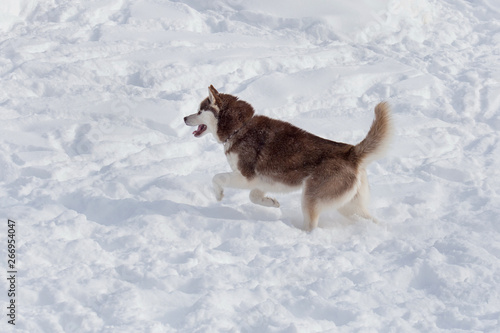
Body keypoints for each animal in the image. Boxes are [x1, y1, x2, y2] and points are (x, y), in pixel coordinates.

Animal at [182, 85, 392, 230]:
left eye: (199, 111)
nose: (184, 117)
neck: (239, 128)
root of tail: (351, 152)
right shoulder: (261, 181)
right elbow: (253, 196)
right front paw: (271, 202)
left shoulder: (245, 177)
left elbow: (217, 178)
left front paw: (218, 195)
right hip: (348, 205)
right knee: (371, 219)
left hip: (311, 197)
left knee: (311, 226)